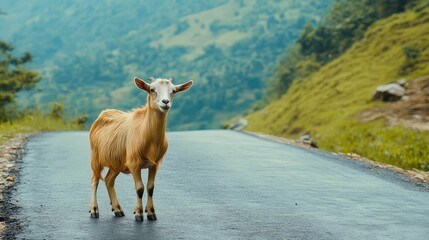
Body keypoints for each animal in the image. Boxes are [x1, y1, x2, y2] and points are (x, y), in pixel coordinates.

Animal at [88, 76, 192, 221]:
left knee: (109, 180)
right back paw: (94, 210)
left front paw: (151, 213)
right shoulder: (134, 163)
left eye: (173, 91)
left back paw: (117, 209)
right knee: (95, 180)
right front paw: (138, 213)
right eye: (152, 90)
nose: (165, 102)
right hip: (96, 157)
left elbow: (150, 187)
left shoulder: (155, 164)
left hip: (117, 162)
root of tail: (102, 114)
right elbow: (139, 188)